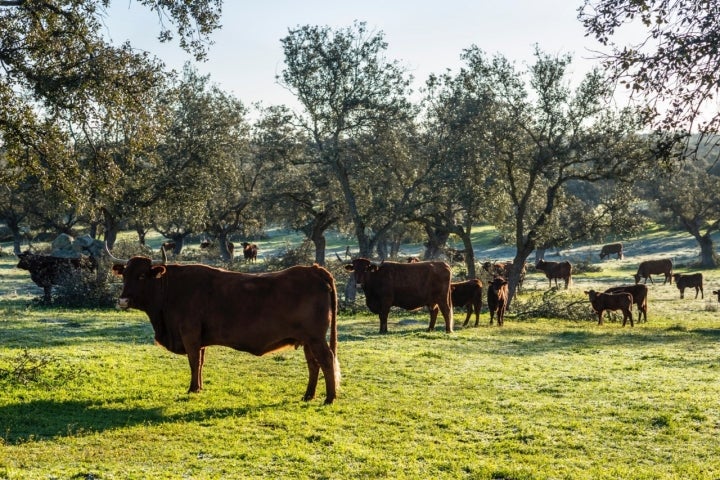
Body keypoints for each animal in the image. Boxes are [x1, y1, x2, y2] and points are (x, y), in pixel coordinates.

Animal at [108, 248, 342, 404]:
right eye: (125, 274)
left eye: (141, 275)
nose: (123, 300)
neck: (171, 289)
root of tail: (314, 269)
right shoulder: (200, 340)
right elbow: (200, 363)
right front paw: (200, 387)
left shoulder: (190, 335)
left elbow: (194, 362)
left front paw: (192, 389)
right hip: (307, 341)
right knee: (313, 364)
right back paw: (308, 395)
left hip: (316, 338)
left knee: (326, 360)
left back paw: (329, 398)